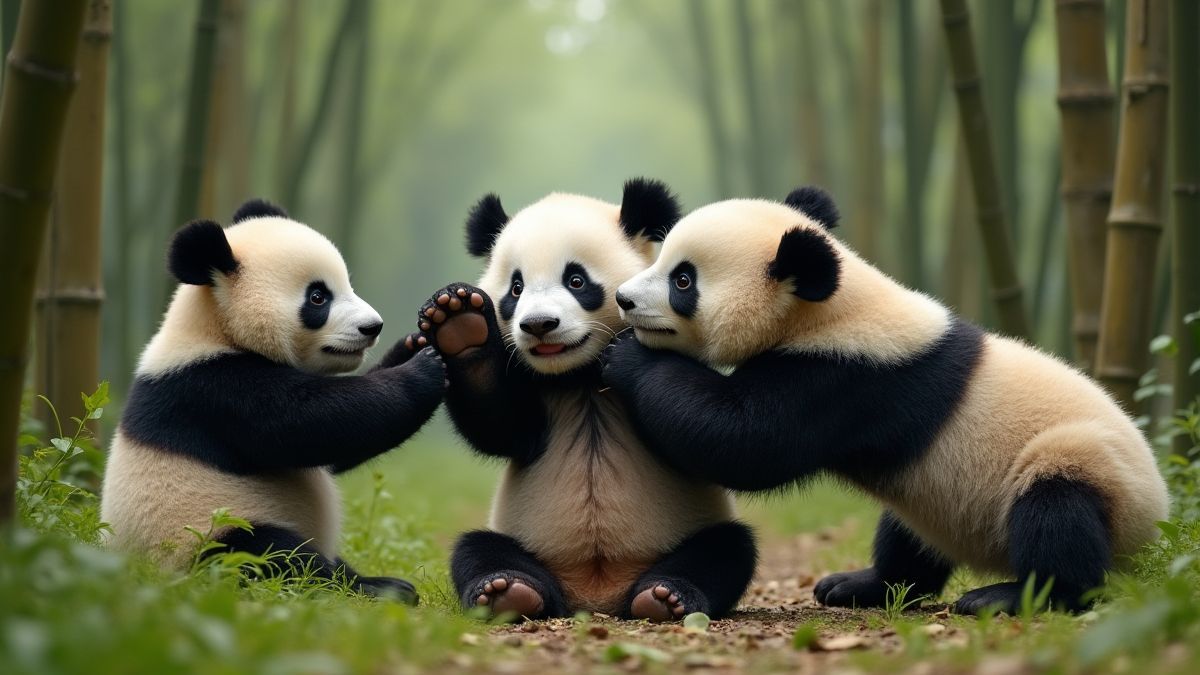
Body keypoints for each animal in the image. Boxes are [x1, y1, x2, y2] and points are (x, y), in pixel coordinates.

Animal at [100, 199, 446, 601]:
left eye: (347, 283)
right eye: (318, 297)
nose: (373, 327)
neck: (213, 328)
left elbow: (328, 453)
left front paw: (414, 344)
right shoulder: (213, 390)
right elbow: (309, 424)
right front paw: (424, 368)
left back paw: (383, 583)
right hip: (201, 531)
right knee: (271, 555)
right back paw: (363, 589)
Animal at [410, 179, 757, 622]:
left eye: (576, 281)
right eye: (516, 288)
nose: (539, 324)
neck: (580, 377)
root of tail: (597, 596)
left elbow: (708, 434)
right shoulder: (533, 395)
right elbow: (500, 427)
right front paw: (458, 321)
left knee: (725, 549)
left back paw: (666, 595)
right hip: (525, 542)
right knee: (476, 548)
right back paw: (508, 590)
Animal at [601, 186, 1170, 615]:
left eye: (683, 280)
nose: (624, 299)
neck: (830, 308)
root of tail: (1157, 522)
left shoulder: (848, 377)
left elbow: (745, 440)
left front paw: (627, 358)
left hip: (1090, 469)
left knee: (1058, 512)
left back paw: (1012, 597)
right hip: (932, 501)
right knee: (906, 538)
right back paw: (859, 585)